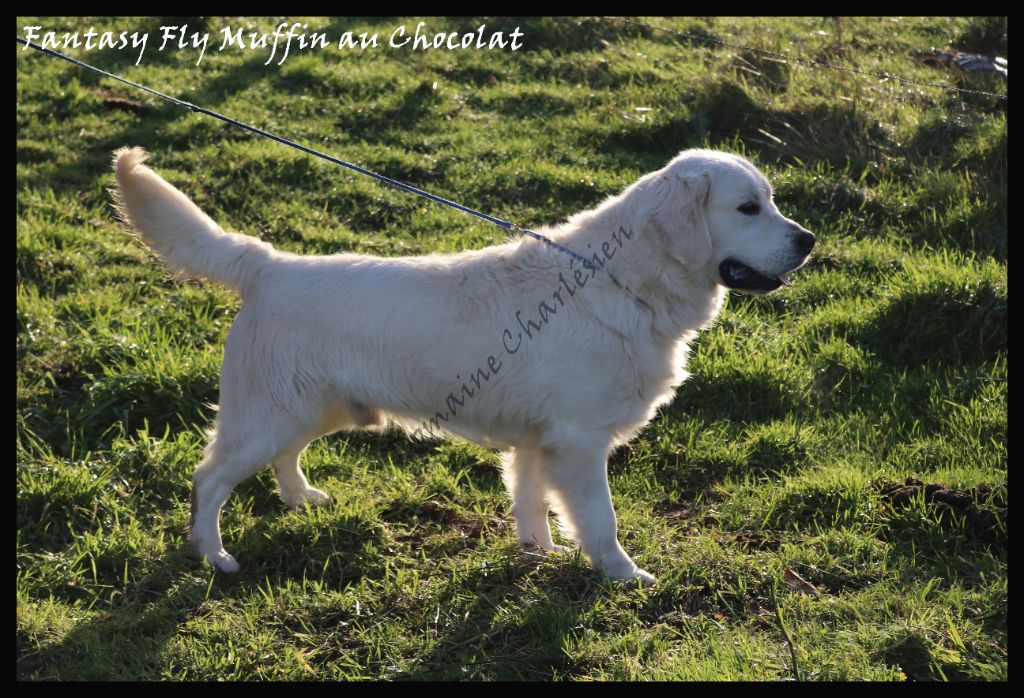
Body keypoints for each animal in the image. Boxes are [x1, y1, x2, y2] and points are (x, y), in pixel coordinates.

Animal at [114, 146, 815, 581]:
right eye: (748, 208)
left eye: (773, 200)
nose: (809, 240)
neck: (623, 282)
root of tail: (268, 265)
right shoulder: (579, 442)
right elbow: (600, 520)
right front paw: (624, 574)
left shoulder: (539, 442)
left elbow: (531, 503)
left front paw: (538, 555)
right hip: (265, 416)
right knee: (209, 479)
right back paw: (213, 557)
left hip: (314, 409)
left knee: (284, 458)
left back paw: (301, 499)